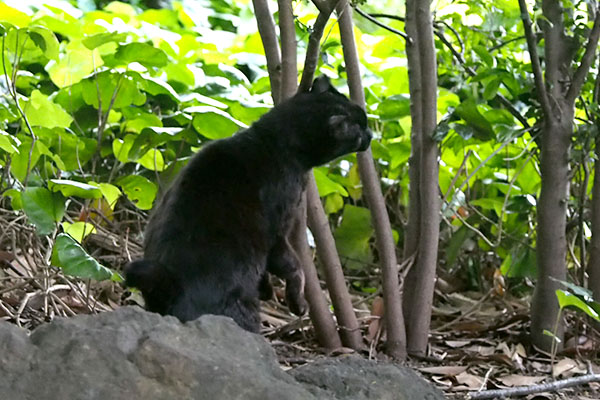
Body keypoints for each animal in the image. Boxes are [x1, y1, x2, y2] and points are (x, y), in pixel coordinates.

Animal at [125, 76, 372, 332]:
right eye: (359, 131)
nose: (371, 135)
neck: (272, 140)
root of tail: (170, 279)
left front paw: (266, 288)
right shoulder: (278, 231)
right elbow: (294, 267)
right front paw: (297, 302)